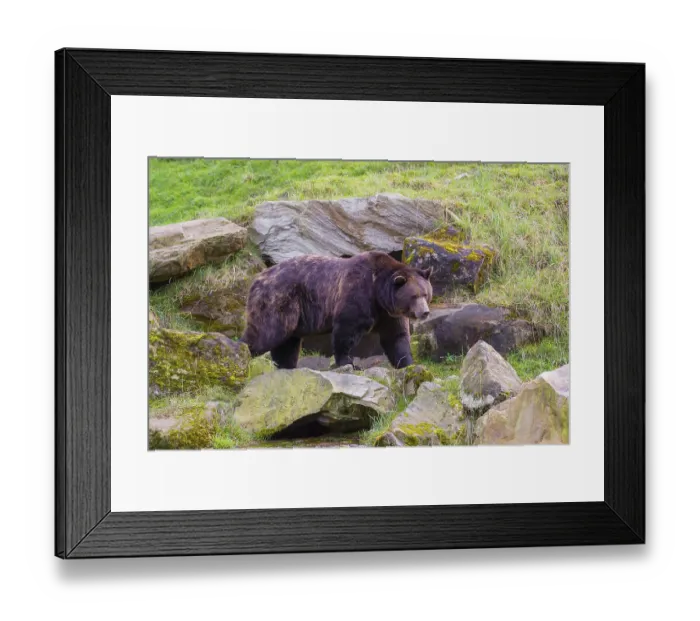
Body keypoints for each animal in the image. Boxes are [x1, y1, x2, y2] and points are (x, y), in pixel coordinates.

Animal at [241, 251, 433, 370]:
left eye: (426, 293)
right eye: (414, 296)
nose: (425, 312)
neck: (378, 294)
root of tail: (256, 279)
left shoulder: (389, 315)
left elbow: (396, 337)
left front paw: (407, 362)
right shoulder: (358, 293)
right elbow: (346, 331)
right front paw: (350, 363)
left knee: (287, 344)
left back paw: (286, 366)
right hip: (279, 300)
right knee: (266, 333)